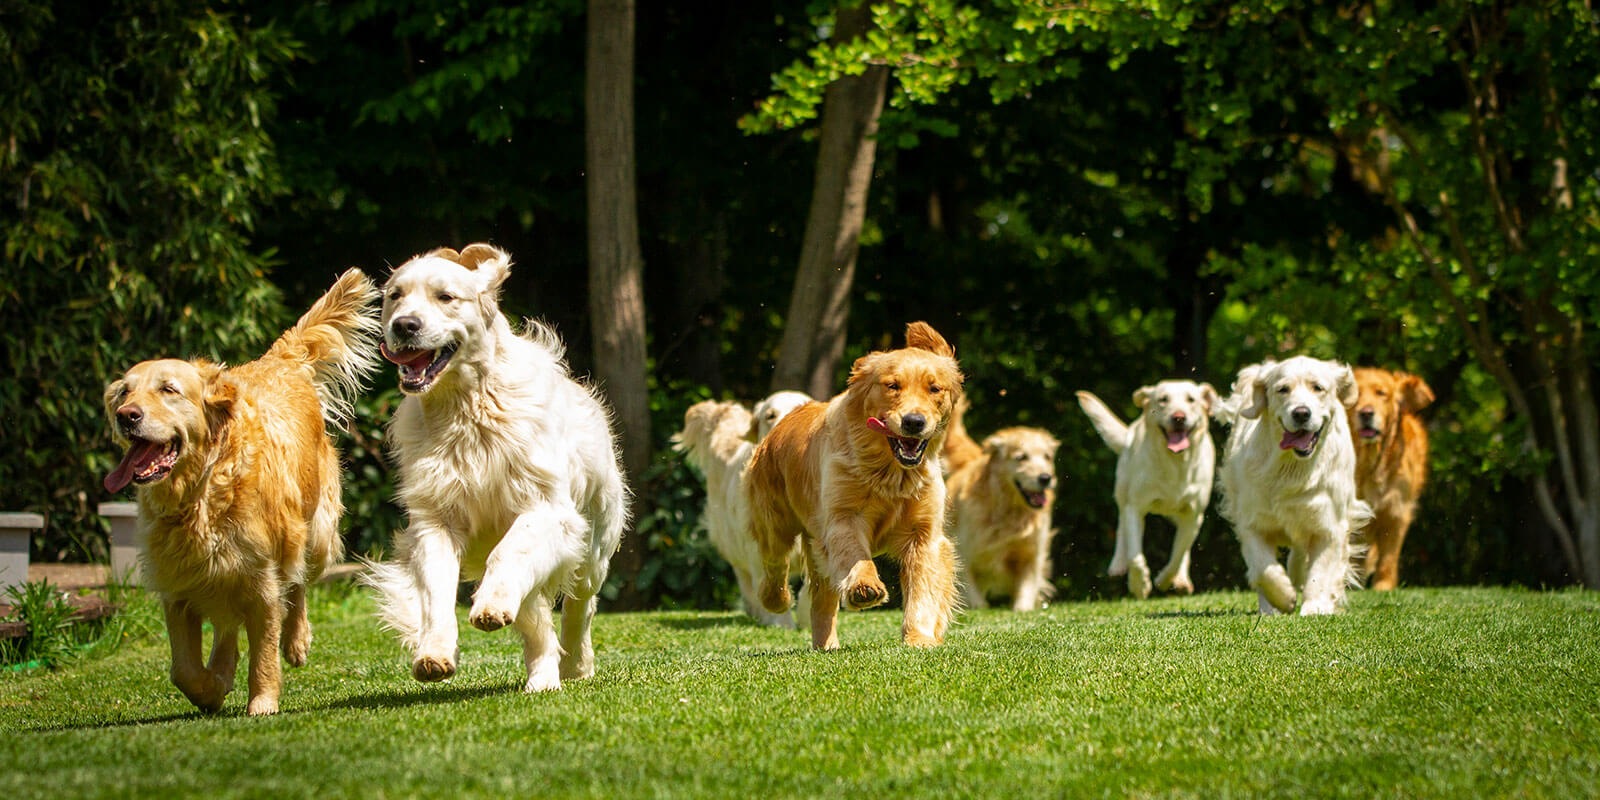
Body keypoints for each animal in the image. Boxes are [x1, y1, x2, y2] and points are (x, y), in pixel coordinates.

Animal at [748, 320, 960, 649]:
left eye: (934, 388)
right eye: (892, 386)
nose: (914, 422)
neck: (890, 473)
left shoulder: (924, 532)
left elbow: (923, 589)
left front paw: (920, 636)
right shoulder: (843, 516)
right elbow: (854, 555)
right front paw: (864, 586)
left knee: (820, 600)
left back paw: (826, 645)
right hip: (775, 522)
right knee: (774, 566)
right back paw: (776, 600)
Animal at [947, 428, 1062, 608]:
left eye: (1047, 457)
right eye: (1021, 457)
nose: (1045, 478)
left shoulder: (1032, 553)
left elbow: (1027, 590)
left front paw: (1023, 609)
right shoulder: (963, 552)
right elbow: (973, 595)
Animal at [1344, 366, 1433, 588]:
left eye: (1381, 393)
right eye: (1356, 395)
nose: (1366, 413)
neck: (1370, 466)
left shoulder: (1397, 510)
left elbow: (1389, 555)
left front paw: (1383, 586)